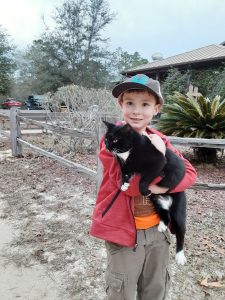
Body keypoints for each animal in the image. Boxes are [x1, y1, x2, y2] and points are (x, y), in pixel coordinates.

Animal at [103, 120, 186, 264]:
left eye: (115, 139)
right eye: (106, 138)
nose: (107, 146)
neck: (129, 151)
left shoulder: (158, 162)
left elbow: (143, 179)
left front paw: (144, 190)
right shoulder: (125, 164)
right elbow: (123, 171)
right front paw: (123, 184)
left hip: (179, 208)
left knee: (181, 230)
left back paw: (180, 255)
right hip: (158, 204)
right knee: (166, 215)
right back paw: (162, 225)